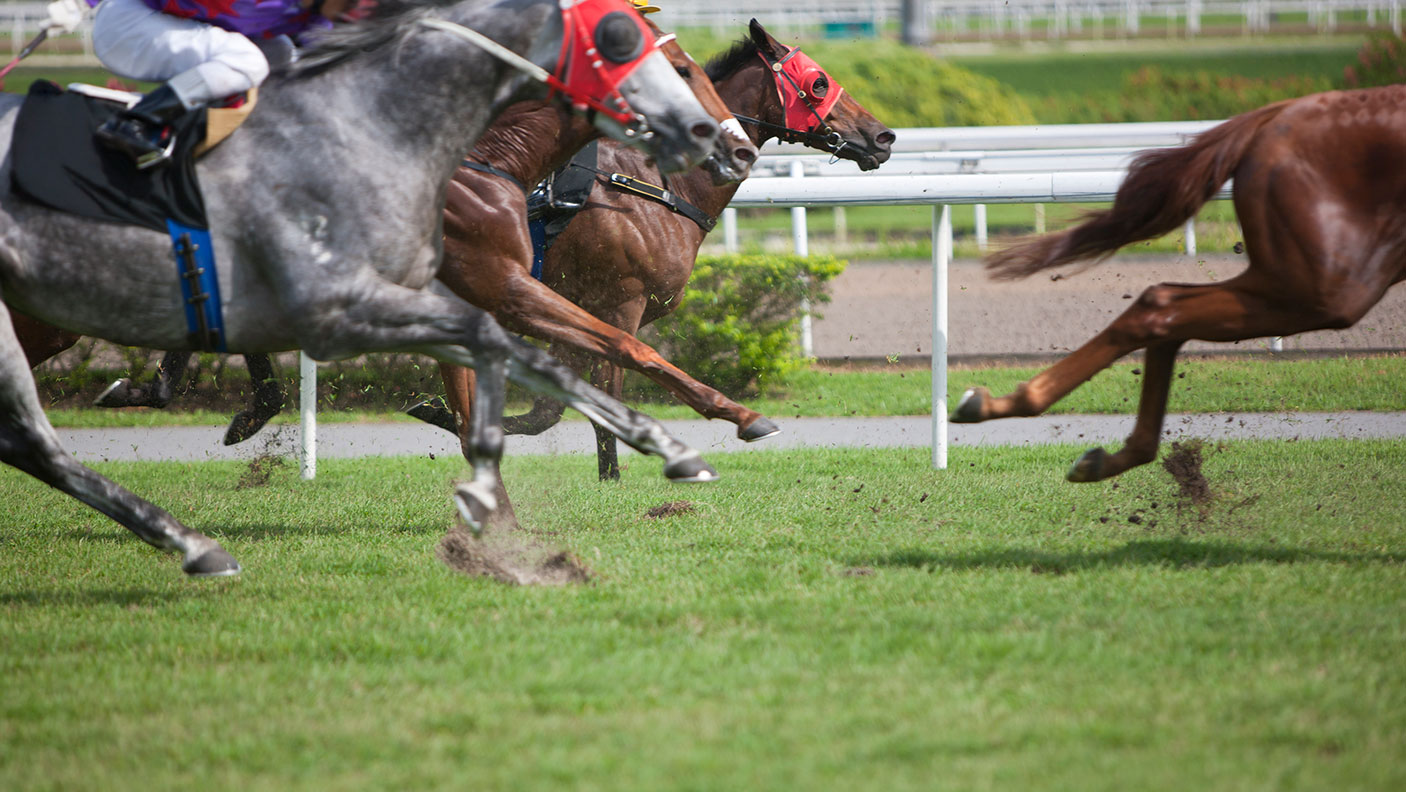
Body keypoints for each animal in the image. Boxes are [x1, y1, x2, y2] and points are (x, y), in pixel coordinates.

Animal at [421, 21, 894, 481]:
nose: (883, 136)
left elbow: (548, 409)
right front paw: (612, 478)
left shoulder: (579, 309)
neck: (654, 185)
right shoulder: (618, 303)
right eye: (819, 82)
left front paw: (439, 412)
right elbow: (604, 394)